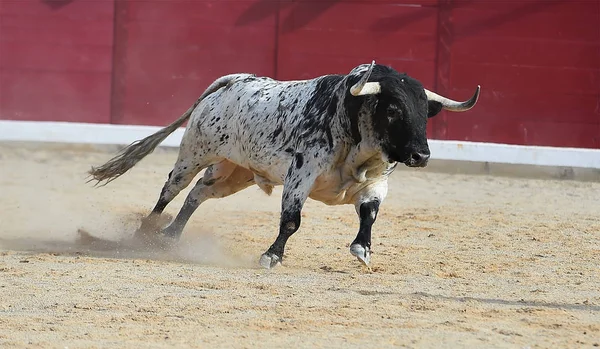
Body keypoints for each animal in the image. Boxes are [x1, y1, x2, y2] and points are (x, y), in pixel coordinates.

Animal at [89, 61, 480, 268]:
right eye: (394, 109)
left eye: (424, 111)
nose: (421, 156)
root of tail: (234, 81)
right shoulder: (300, 177)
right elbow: (291, 221)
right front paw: (271, 256)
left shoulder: (375, 183)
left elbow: (369, 214)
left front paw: (362, 250)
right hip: (195, 154)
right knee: (171, 189)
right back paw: (144, 234)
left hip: (233, 174)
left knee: (197, 194)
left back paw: (171, 236)